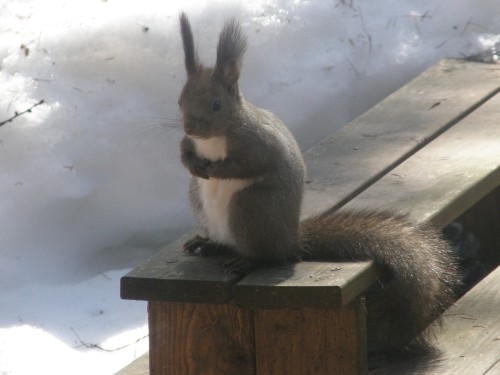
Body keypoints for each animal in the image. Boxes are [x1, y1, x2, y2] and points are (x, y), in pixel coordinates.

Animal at [177, 13, 460, 356]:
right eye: (180, 100)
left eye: (217, 104)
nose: (190, 127)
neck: (214, 140)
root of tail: (291, 241)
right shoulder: (192, 143)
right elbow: (184, 151)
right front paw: (192, 164)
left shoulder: (259, 143)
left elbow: (252, 164)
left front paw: (217, 169)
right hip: (200, 199)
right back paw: (209, 245)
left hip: (251, 208)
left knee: (268, 256)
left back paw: (246, 261)